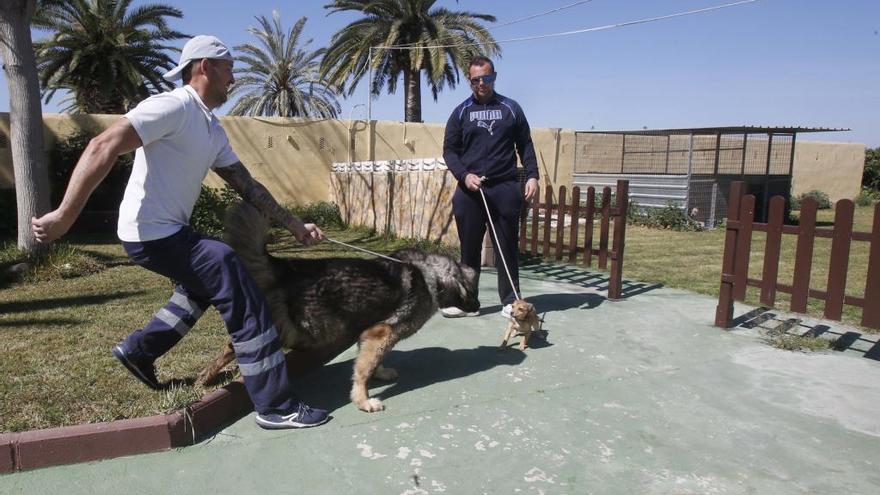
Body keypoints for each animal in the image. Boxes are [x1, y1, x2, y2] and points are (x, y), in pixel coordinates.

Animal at [198, 203, 482, 412]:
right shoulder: (382, 333)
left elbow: (370, 362)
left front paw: (379, 374)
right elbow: (364, 371)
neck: (429, 275)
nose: (478, 305)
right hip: (305, 330)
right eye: (474, 291)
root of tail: (285, 266)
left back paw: (204, 378)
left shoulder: (368, 333)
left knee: (233, 346)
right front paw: (363, 400)